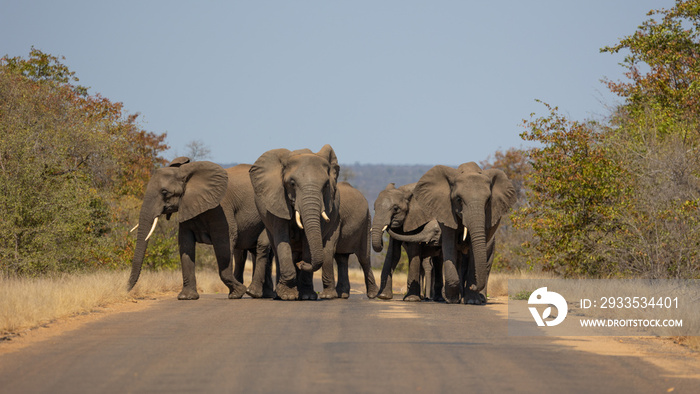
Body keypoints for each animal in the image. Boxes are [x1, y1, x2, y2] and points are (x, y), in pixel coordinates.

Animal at [127, 159, 272, 300]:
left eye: (164, 192)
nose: (127, 289)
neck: (186, 174)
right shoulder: (187, 206)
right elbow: (185, 245)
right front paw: (186, 297)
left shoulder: (221, 209)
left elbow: (224, 243)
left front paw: (238, 292)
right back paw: (264, 294)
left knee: (261, 246)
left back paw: (254, 293)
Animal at [250, 145, 344, 302]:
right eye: (292, 184)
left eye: (326, 185)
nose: (301, 264)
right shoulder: (277, 200)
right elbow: (282, 238)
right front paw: (287, 296)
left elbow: (307, 242)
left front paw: (307, 296)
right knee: (276, 249)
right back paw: (279, 294)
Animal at [412, 162, 516, 304]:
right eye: (458, 199)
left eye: (488, 200)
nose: (473, 286)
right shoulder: (446, 211)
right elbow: (449, 246)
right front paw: (451, 299)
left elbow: (474, 253)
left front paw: (472, 301)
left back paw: (480, 298)